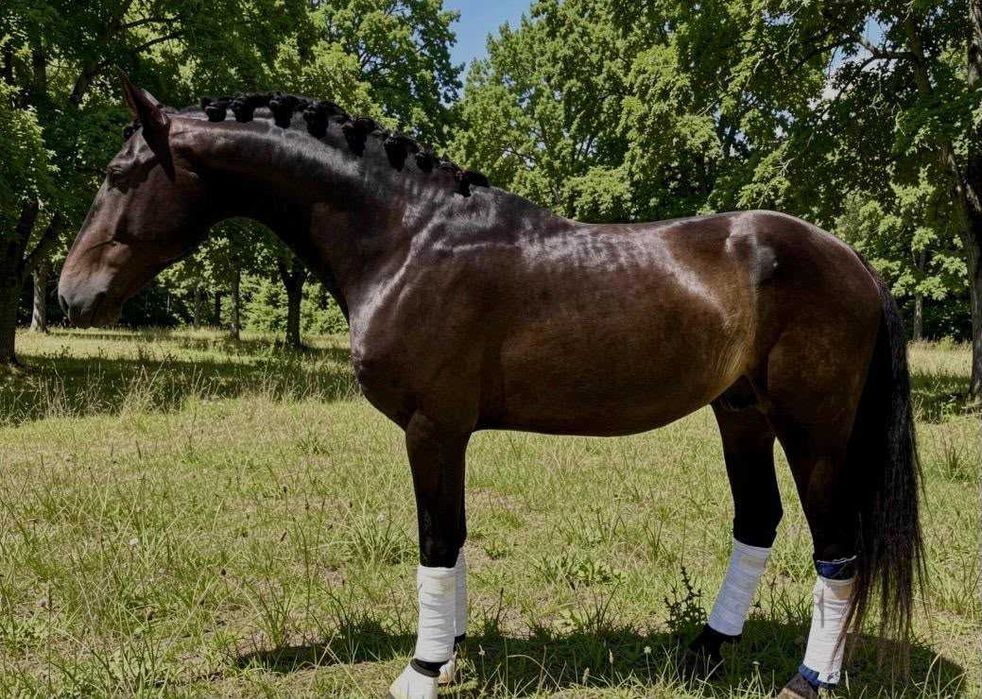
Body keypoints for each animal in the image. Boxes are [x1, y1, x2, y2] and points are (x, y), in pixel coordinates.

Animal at [58, 76, 922, 699]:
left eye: (119, 174)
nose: (72, 295)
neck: (408, 238)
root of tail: (849, 257)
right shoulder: (448, 432)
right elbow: (459, 536)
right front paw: (450, 651)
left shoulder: (430, 426)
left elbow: (436, 540)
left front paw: (421, 671)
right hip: (740, 412)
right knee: (758, 522)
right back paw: (703, 654)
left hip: (812, 429)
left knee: (836, 549)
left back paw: (809, 681)